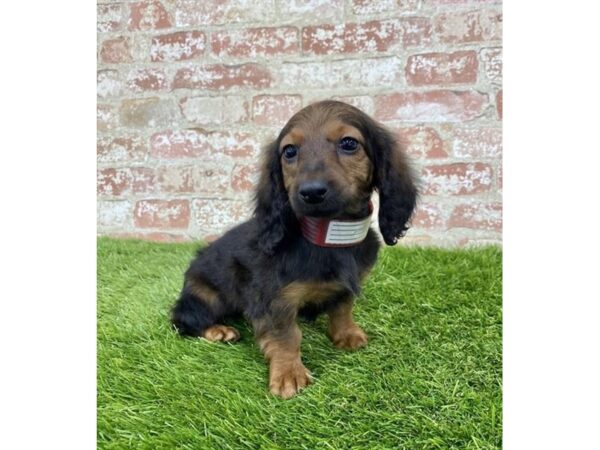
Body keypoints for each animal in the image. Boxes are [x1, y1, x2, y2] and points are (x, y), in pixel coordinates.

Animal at [171, 100, 420, 400]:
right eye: (289, 151)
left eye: (349, 143)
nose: (311, 192)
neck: (328, 236)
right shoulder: (274, 298)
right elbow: (287, 335)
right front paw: (288, 374)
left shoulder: (346, 287)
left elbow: (343, 309)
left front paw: (347, 334)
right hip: (206, 295)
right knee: (183, 319)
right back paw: (217, 330)